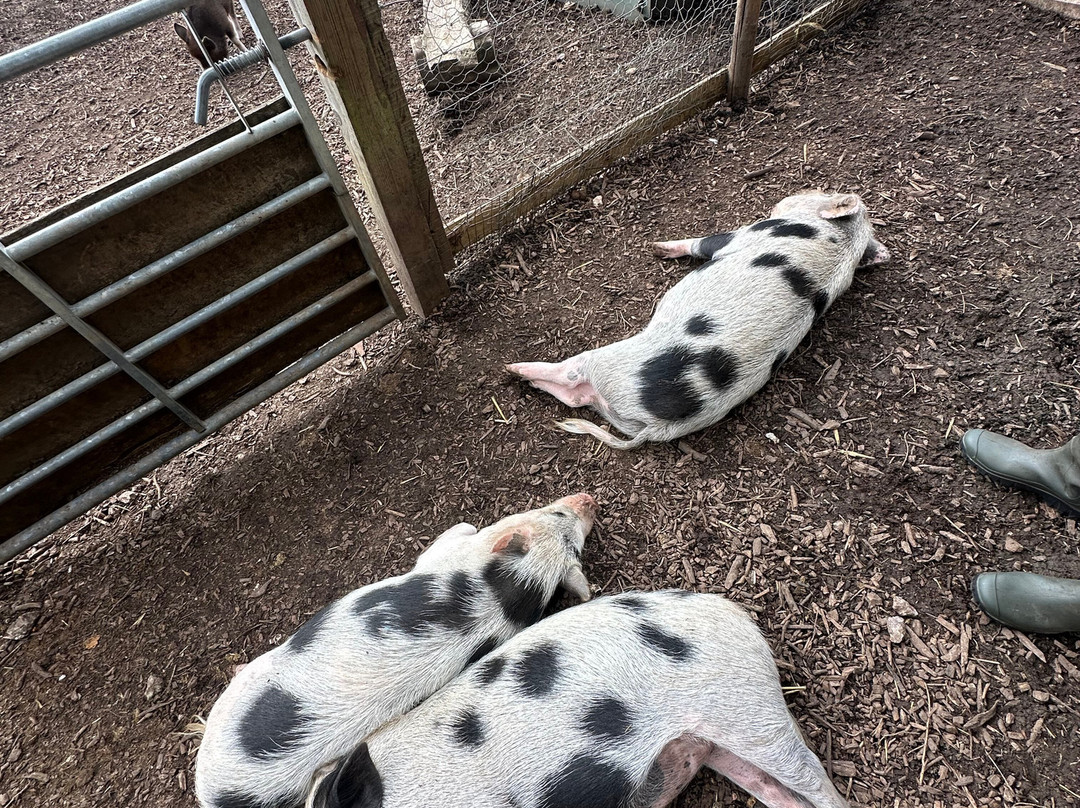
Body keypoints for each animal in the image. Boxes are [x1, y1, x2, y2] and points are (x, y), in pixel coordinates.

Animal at [195, 493, 596, 808]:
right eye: (561, 520)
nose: (590, 500)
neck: (506, 590)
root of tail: (218, 795)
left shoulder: (445, 554)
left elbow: (459, 528)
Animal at [507, 191, 890, 449]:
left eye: (820, 191)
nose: (789, 194)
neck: (843, 241)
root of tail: (657, 426)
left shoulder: (745, 234)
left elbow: (704, 243)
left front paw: (657, 246)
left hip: (610, 360)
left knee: (572, 375)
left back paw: (513, 369)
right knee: (575, 399)